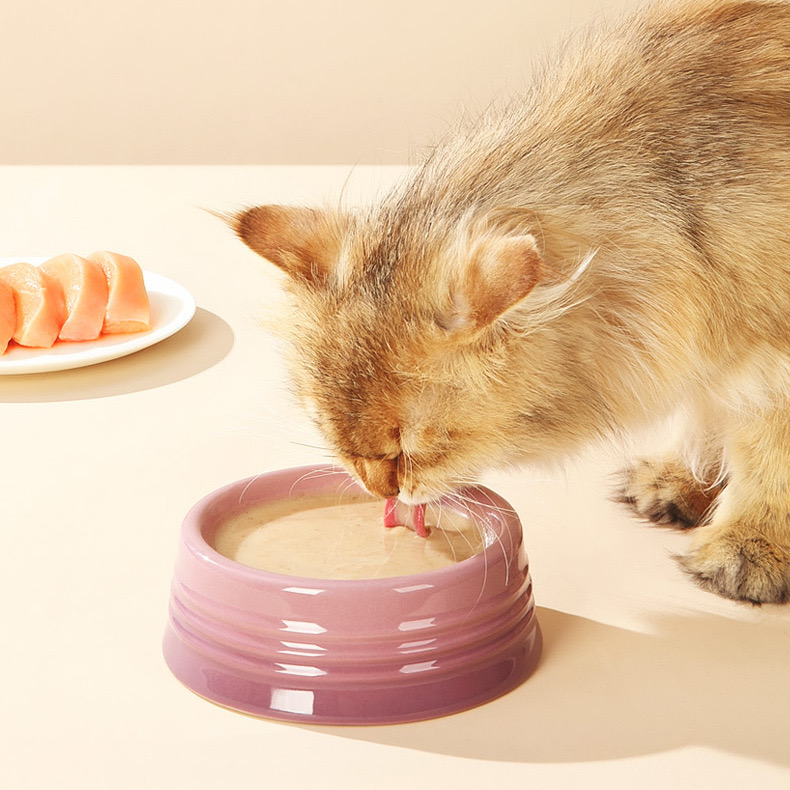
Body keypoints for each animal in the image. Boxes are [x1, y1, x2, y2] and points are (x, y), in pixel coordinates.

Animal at [232, 0, 790, 608]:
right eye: (323, 427)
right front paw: (687, 481)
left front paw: (749, 544)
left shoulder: (769, 358)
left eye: (409, 449)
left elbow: (765, 455)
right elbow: (708, 416)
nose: (377, 488)